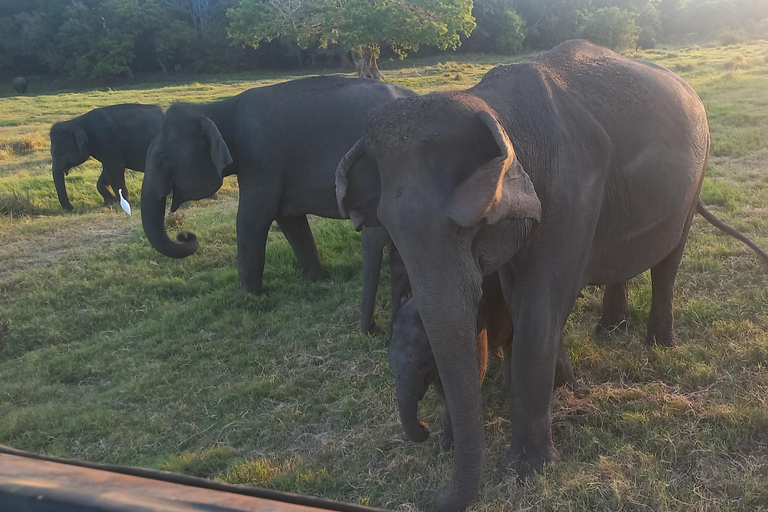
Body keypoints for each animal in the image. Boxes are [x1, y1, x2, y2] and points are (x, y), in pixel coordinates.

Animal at [137, 76, 414, 328]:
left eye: (162, 159)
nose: (186, 235)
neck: (217, 109)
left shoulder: (261, 159)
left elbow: (252, 219)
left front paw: (250, 296)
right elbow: (289, 221)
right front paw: (317, 279)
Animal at [336, 41, 768, 512]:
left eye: (470, 225)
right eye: (388, 228)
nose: (434, 494)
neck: (495, 109)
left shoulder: (573, 188)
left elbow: (539, 304)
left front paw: (524, 470)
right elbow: (516, 296)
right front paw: (559, 385)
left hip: (694, 178)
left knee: (669, 261)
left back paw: (660, 344)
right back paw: (609, 330)